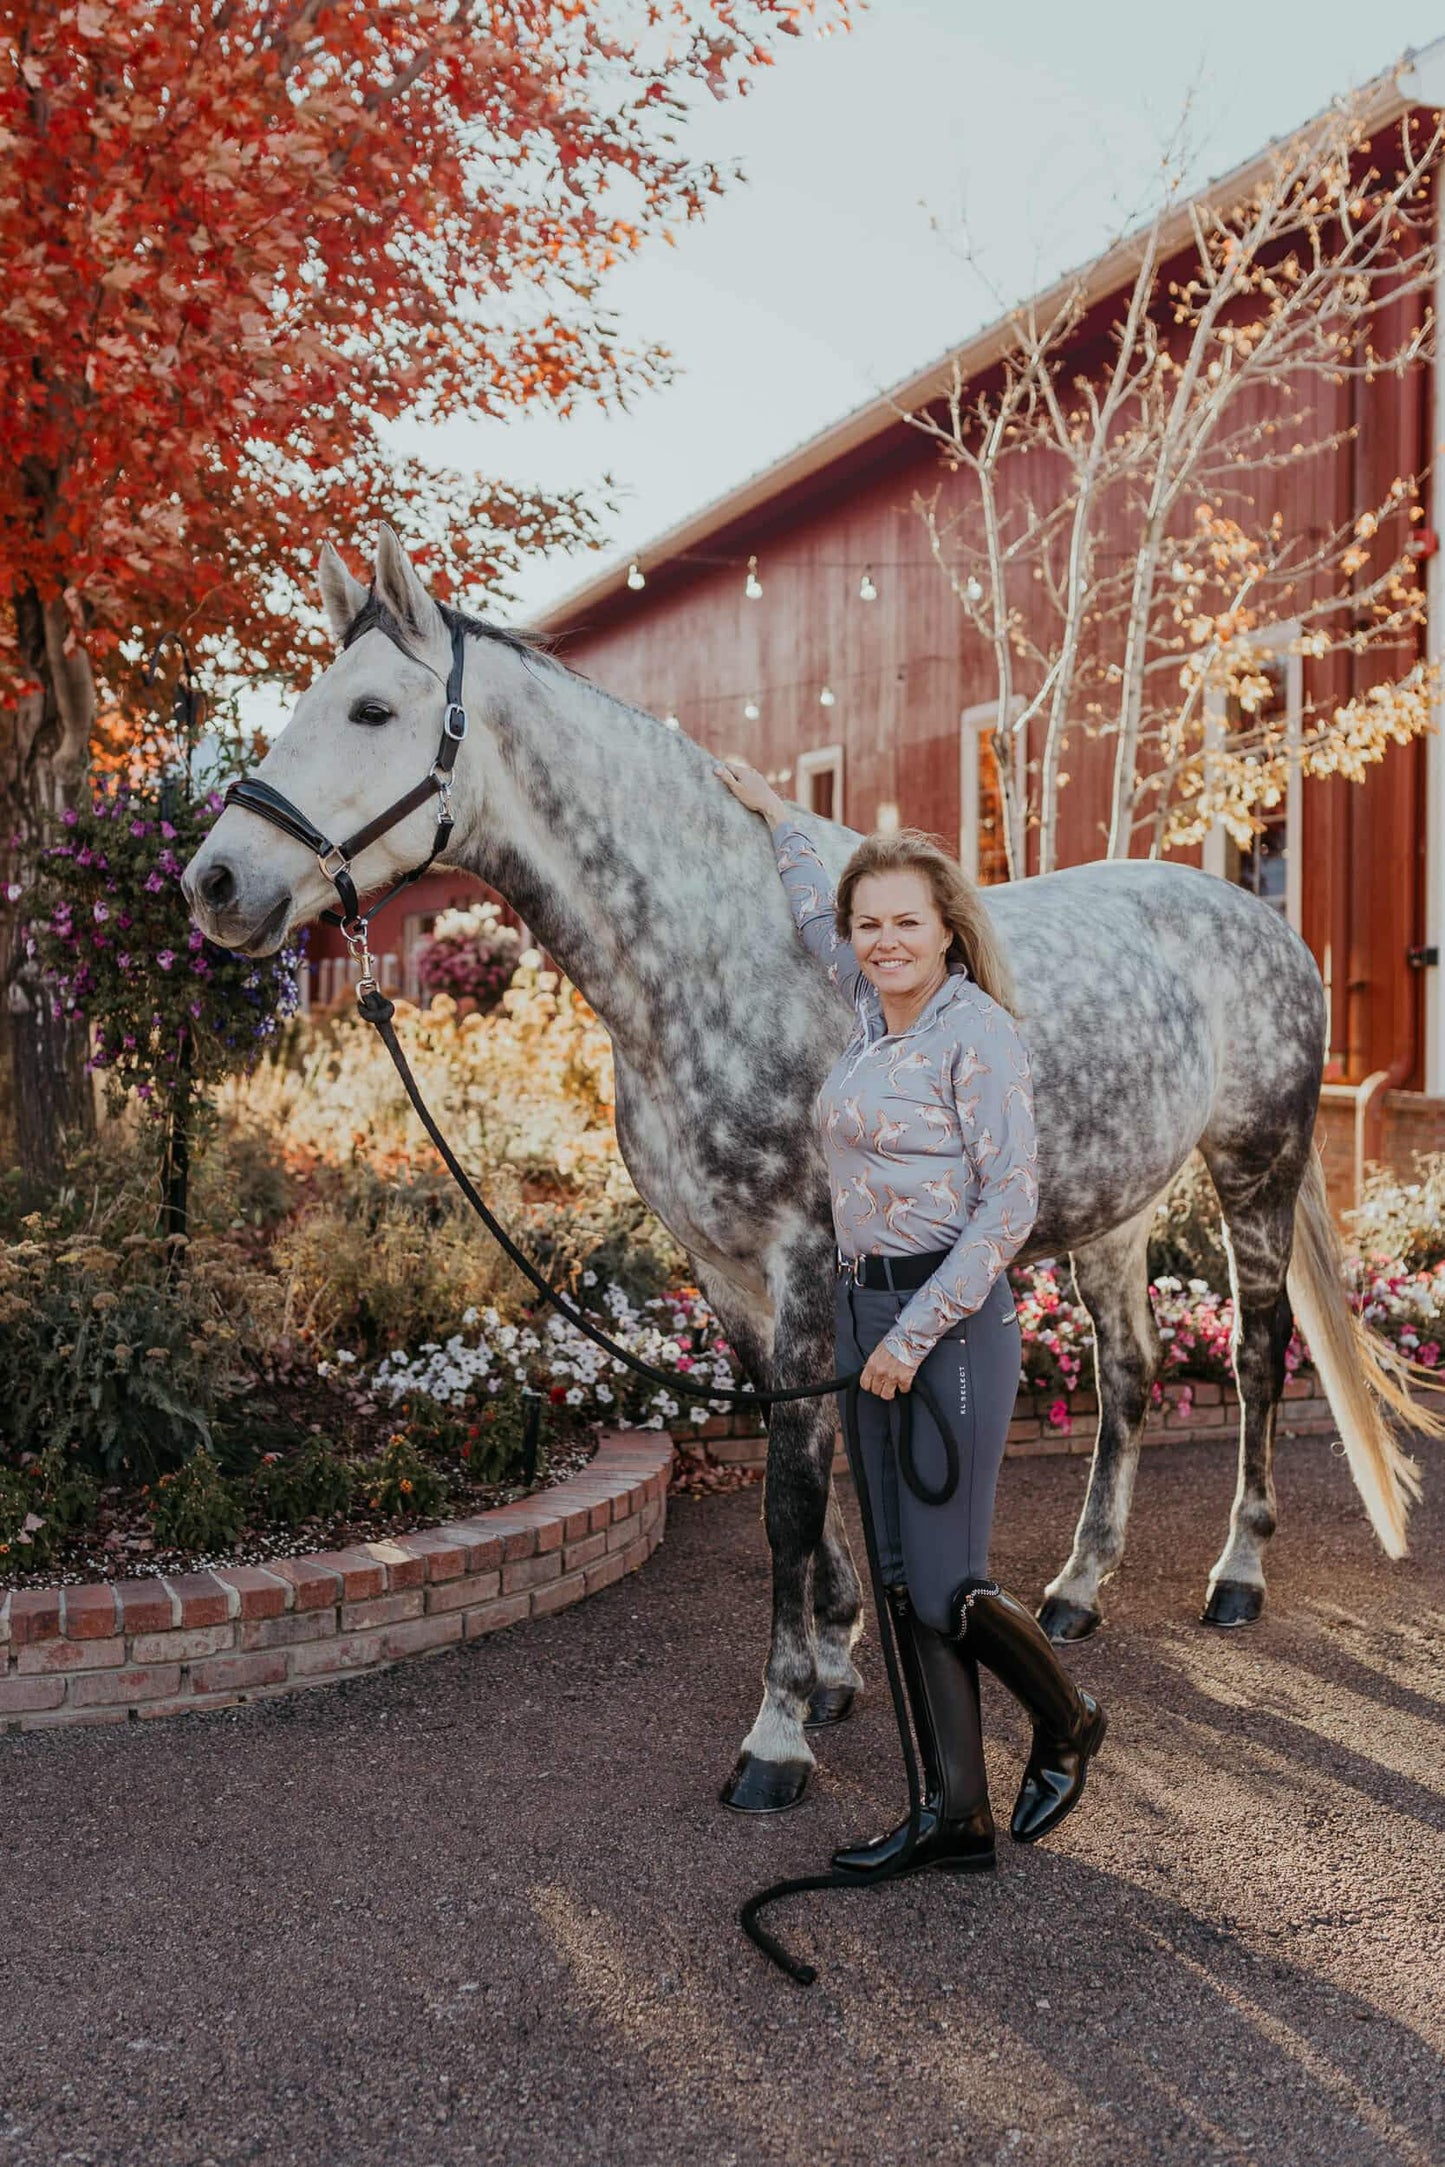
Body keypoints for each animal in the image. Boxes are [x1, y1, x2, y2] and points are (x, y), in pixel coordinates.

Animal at [184, 533, 1438, 1820]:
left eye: (371, 709)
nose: (215, 882)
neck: (716, 955)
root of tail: (1259, 922)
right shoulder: (726, 1268)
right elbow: (812, 1469)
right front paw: (836, 1655)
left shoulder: (800, 1254)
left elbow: (787, 1494)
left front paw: (777, 1732)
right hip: (1111, 1211)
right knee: (1130, 1374)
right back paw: (1077, 1590)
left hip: (1253, 1172)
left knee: (1252, 1359)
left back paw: (1235, 1573)